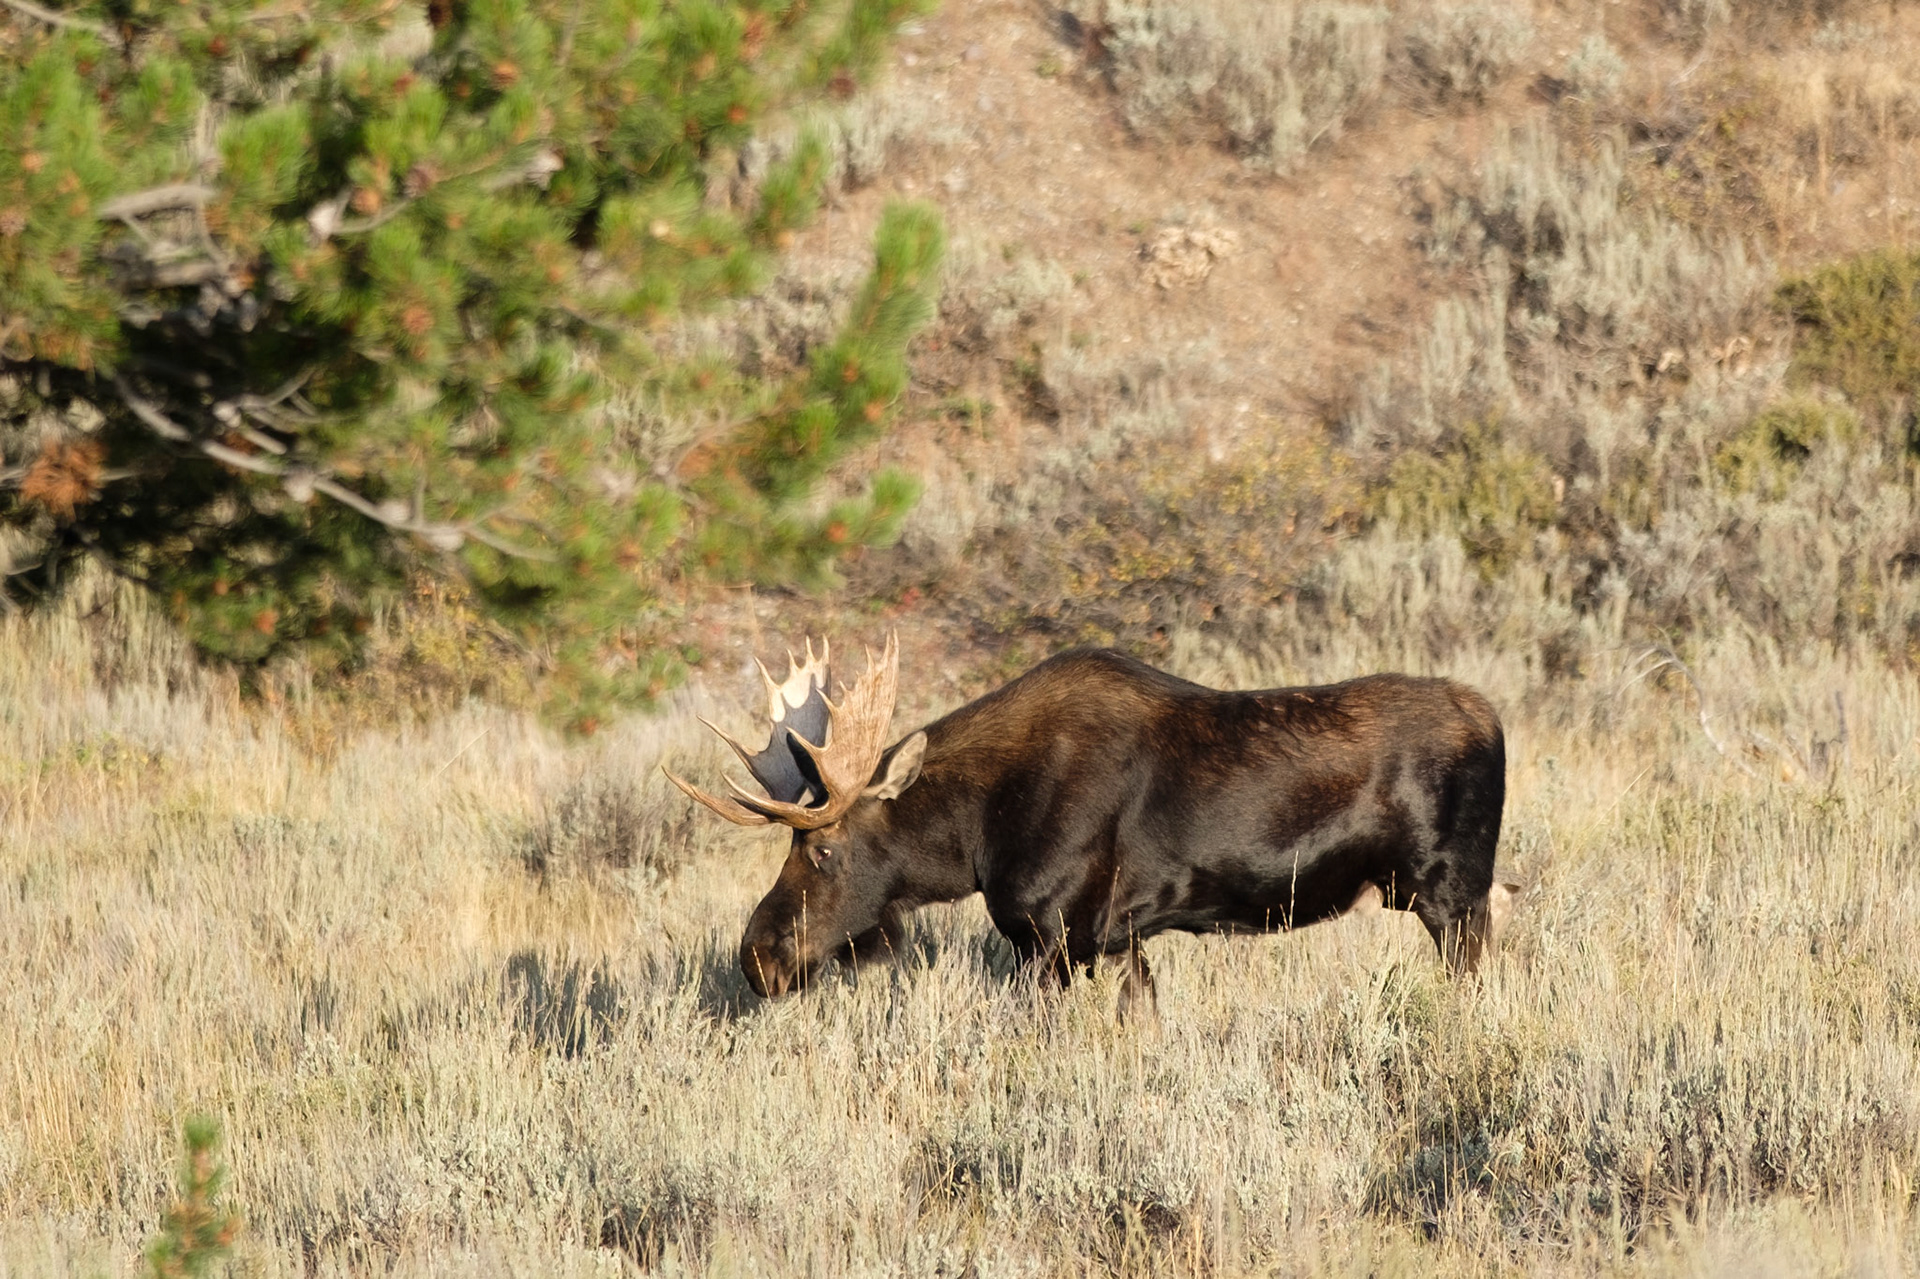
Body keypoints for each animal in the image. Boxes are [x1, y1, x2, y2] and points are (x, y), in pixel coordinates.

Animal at [666, 635, 1516, 1018]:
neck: (976, 837)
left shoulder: (1055, 937)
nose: (759, 957)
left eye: (825, 847)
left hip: (1451, 891)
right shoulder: (1120, 938)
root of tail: (1494, 717)